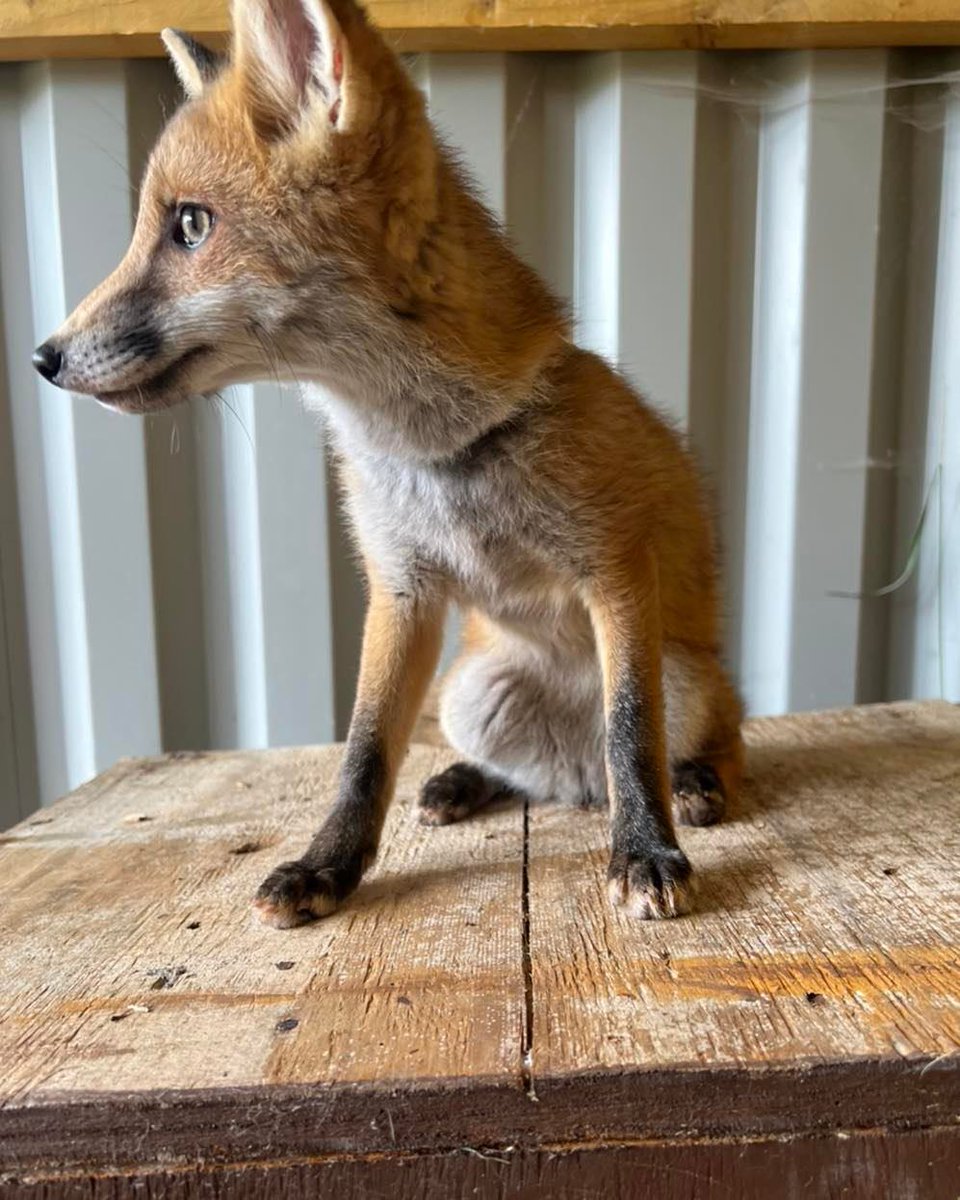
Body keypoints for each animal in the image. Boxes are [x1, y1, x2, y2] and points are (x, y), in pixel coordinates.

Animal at [33, 0, 743, 927]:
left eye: (188, 224)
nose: (42, 357)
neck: (436, 453)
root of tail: (575, 783)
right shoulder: (400, 588)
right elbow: (365, 749)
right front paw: (328, 865)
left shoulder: (617, 569)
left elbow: (631, 733)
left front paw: (648, 851)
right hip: (471, 694)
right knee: (532, 778)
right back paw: (466, 781)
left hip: (686, 677)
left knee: (692, 745)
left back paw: (695, 785)